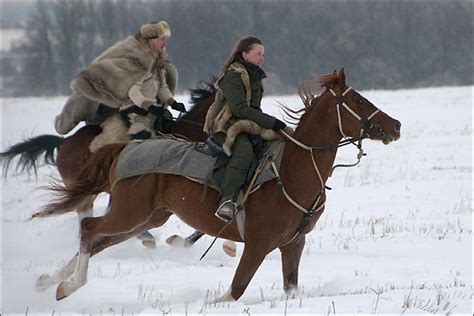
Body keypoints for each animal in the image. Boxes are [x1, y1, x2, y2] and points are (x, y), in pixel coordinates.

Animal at [39, 69, 400, 302]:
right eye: (360, 102)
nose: (395, 125)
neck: (292, 171)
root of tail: (125, 148)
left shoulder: (292, 245)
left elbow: (290, 288)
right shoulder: (257, 245)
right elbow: (233, 292)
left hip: (147, 217)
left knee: (99, 240)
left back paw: (49, 280)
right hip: (131, 213)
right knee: (89, 229)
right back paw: (66, 286)